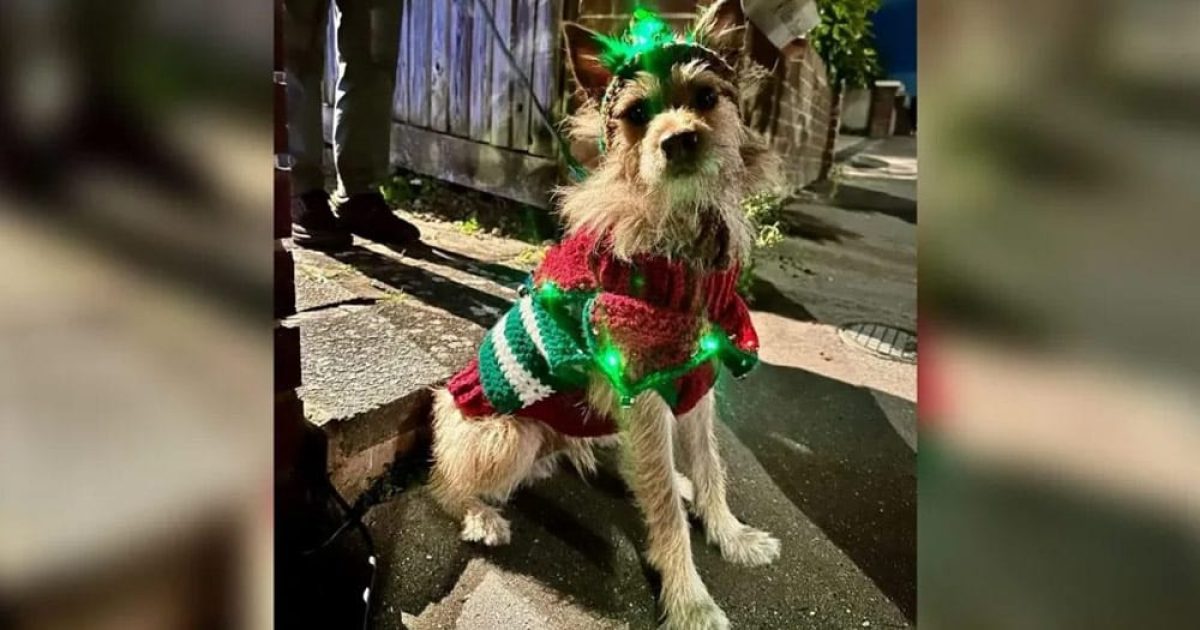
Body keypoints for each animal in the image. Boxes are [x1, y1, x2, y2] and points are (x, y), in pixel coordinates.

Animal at [427, 3, 782, 624]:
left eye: (707, 97)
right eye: (637, 113)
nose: (680, 140)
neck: (681, 237)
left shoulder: (697, 380)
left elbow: (710, 466)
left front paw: (730, 534)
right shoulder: (643, 388)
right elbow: (663, 508)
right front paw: (690, 601)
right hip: (505, 437)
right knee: (442, 484)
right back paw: (480, 514)